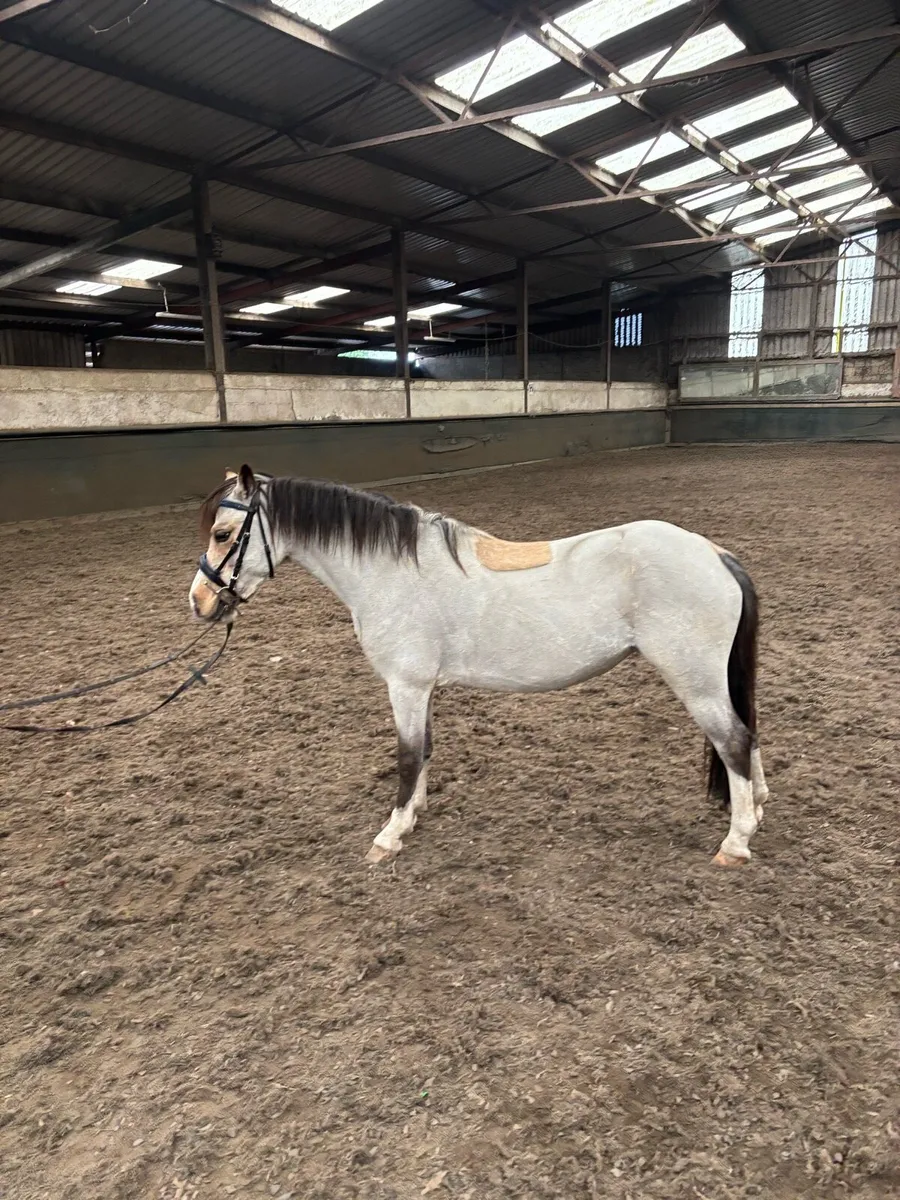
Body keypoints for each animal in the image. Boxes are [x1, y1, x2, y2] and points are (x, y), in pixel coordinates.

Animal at [189, 464, 769, 869]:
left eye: (223, 534)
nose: (199, 601)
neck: (389, 571)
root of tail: (715, 555)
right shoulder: (421, 688)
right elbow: (424, 750)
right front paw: (413, 817)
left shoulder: (405, 685)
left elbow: (407, 756)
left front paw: (389, 836)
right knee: (747, 735)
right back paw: (757, 807)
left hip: (696, 682)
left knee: (733, 741)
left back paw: (735, 843)